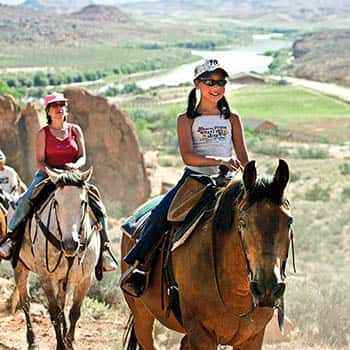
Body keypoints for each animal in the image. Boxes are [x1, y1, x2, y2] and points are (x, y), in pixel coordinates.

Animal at [121, 160, 294, 348]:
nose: (267, 288)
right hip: (141, 315)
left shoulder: (253, 337)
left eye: (289, 221)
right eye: (243, 222)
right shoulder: (201, 334)